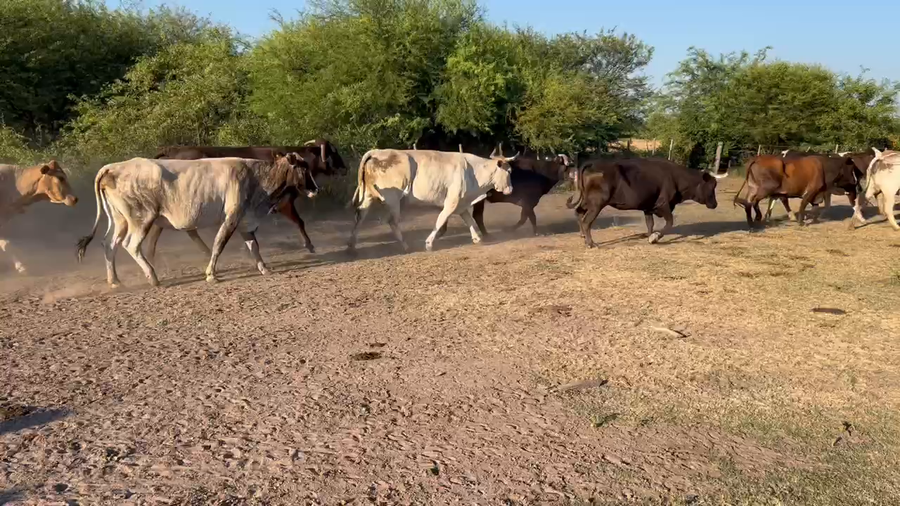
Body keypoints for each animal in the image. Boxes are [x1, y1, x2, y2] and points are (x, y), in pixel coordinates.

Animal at [76, 154, 315, 287]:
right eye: (303, 169)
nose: (316, 189)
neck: (255, 177)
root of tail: (112, 167)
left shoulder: (245, 221)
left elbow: (254, 247)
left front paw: (264, 269)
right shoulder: (232, 217)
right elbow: (218, 245)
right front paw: (211, 275)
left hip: (119, 220)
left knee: (109, 244)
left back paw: (115, 280)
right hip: (141, 218)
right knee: (131, 245)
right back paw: (153, 277)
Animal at [155, 140, 346, 253]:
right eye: (333, 152)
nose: (345, 167)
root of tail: (171, 150)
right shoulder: (284, 203)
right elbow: (300, 221)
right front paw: (309, 244)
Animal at [346, 149, 516, 253]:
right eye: (509, 171)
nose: (510, 189)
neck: (474, 171)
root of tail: (377, 151)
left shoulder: (461, 203)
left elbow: (469, 220)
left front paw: (476, 238)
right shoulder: (452, 201)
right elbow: (441, 220)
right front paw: (429, 243)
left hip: (368, 196)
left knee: (360, 217)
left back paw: (351, 247)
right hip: (393, 200)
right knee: (392, 222)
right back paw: (405, 246)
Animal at [566, 158, 723, 248]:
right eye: (711, 186)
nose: (715, 204)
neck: (677, 178)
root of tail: (593, 163)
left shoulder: (648, 207)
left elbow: (650, 224)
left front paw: (649, 235)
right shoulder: (663, 205)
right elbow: (670, 223)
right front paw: (654, 238)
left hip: (587, 201)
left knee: (578, 212)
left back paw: (584, 237)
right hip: (597, 203)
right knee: (586, 221)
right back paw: (591, 243)